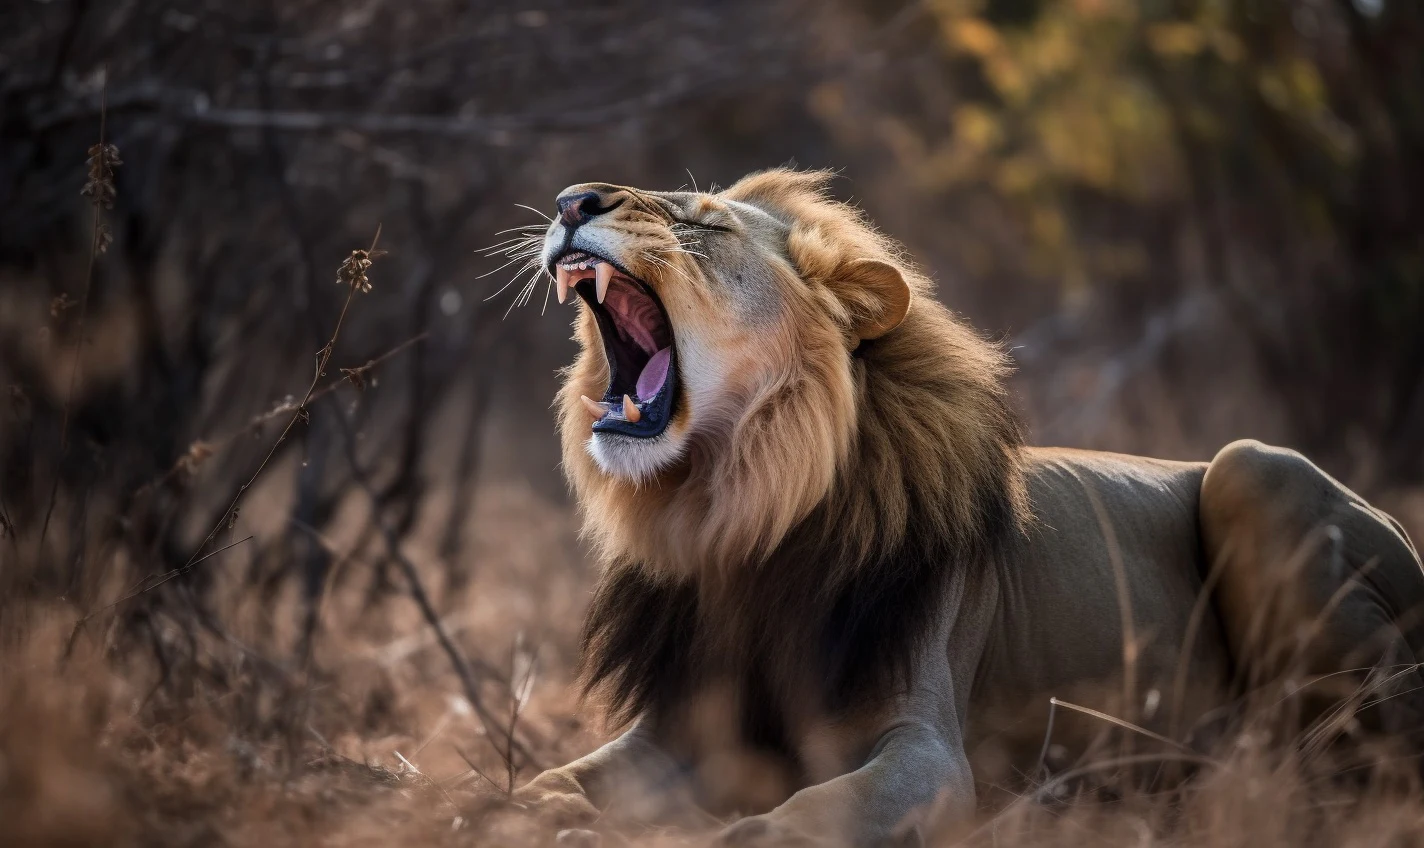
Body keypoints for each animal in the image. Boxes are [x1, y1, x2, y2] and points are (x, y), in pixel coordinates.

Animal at [512, 169, 1424, 845]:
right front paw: (531, 810)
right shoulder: (675, 729)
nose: (571, 201)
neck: (736, 514)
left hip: (1254, 470)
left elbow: (819, 809)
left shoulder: (931, 746)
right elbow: (560, 778)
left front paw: (739, 833)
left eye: (705, 225)